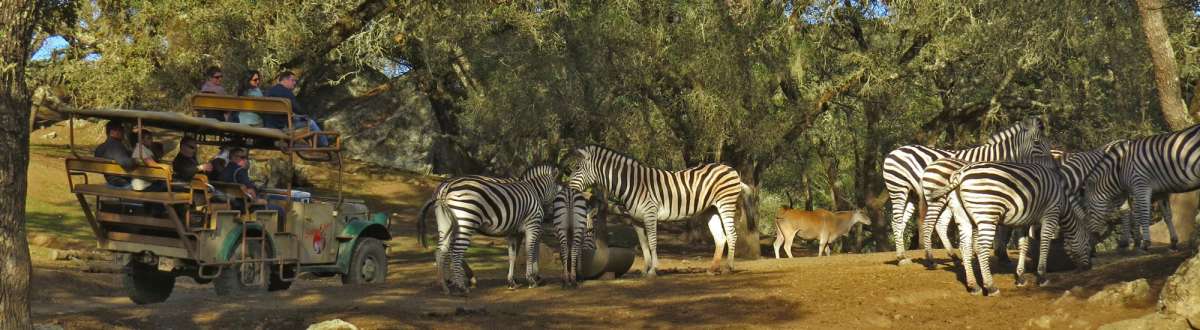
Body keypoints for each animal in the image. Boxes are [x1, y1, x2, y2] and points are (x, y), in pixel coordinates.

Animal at [415, 166, 559, 296]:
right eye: (557, 190)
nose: (549, 215)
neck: (534, 190)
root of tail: (445, 187)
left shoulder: (514, 232)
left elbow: (513, 255)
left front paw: (512, 281)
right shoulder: (532, 224)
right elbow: (531, 250)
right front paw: (533, 279)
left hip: (446, 224)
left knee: (441, 251)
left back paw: (446, 285)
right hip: (465, 221)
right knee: (455, 252)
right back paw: (461, 286)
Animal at [564, 146, 748, 278]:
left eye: (577, 167)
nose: (569, 189)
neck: (633, 183)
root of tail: (731, 169)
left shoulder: (650, 214)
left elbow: (652, 242)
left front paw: (654, 270)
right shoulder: (636, 220)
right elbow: (643, 244)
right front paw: (645, 270)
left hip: (726, 203)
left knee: (732, 234)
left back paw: (728, 268)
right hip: (711, 209)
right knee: (720, 237)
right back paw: (712, 269)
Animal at [883, 118, 1041, 266]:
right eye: (1038, 143)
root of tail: (894, 152)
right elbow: (1003, 228)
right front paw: (1000, 255)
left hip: (912, 194)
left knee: (900, 223)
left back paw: (903, 255)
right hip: (898, 188)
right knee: (897, 220)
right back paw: (905, 258)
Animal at [931, 142, 1094, 297]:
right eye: (1087, 242)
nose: (1089, 267)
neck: (1063, 201)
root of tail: (961, 174)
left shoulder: (1024, 220)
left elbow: (1023, 245)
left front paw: (1020, 277)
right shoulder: (1051, 213)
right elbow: (1045, 244)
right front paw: (1042, 276)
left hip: (962, 216)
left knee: (965, 247)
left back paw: (974, 286)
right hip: (987, 213)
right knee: (982, 248)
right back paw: (991, 287)